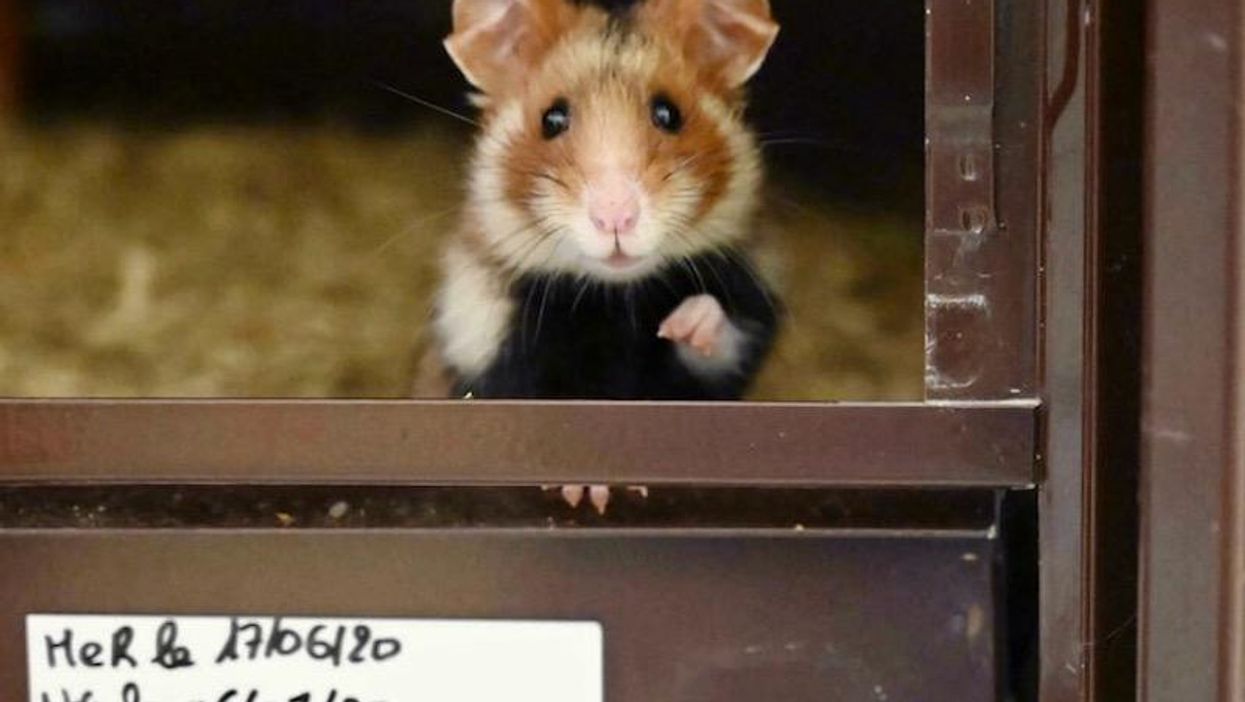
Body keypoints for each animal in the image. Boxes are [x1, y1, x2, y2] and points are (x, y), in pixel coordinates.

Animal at [427, 0, 782, 401]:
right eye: (551, 119)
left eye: (668, 114)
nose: (615, 219)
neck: (615, 298)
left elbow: (720, 336)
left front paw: (684, 324)